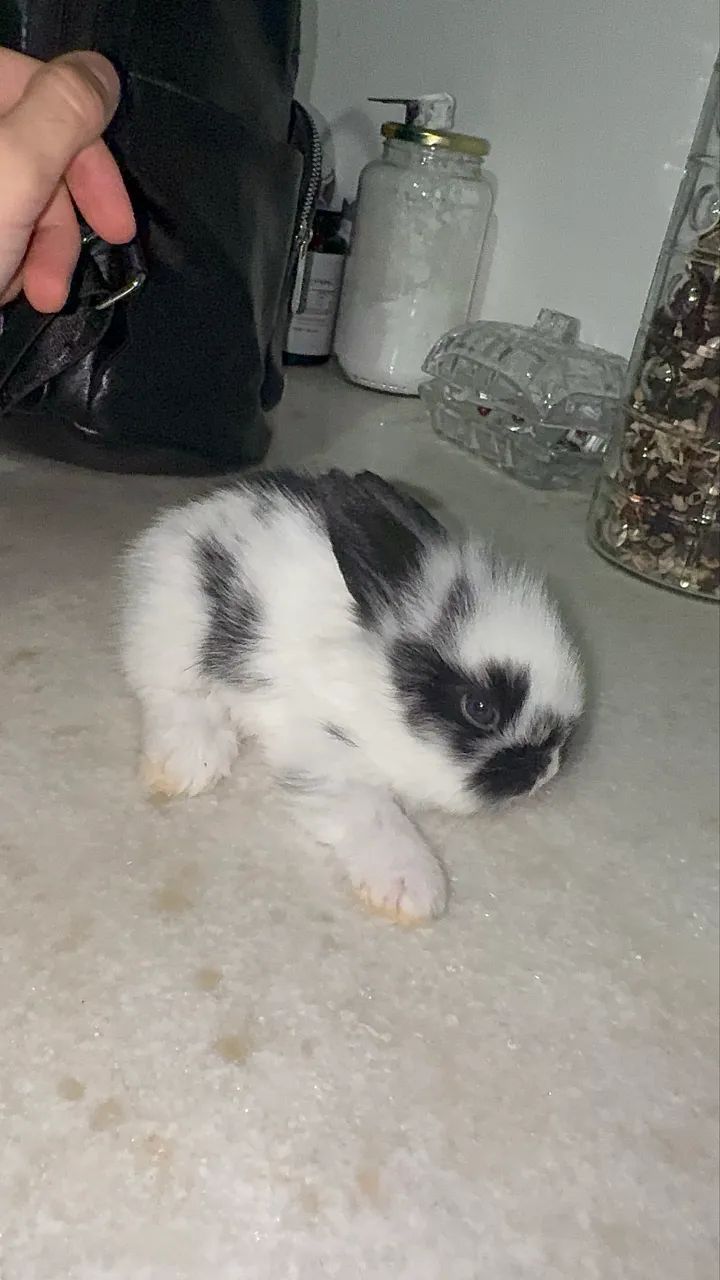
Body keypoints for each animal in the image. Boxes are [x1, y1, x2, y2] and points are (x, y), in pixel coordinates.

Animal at [121, 469, 584, 924]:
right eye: (480, 708)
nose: (543, 771)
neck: (379, 682)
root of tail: (188, 517)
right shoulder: (326, 750)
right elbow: (373, 814)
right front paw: (413, 890)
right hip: (179, 631)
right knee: (172, 692)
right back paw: (188, 763)